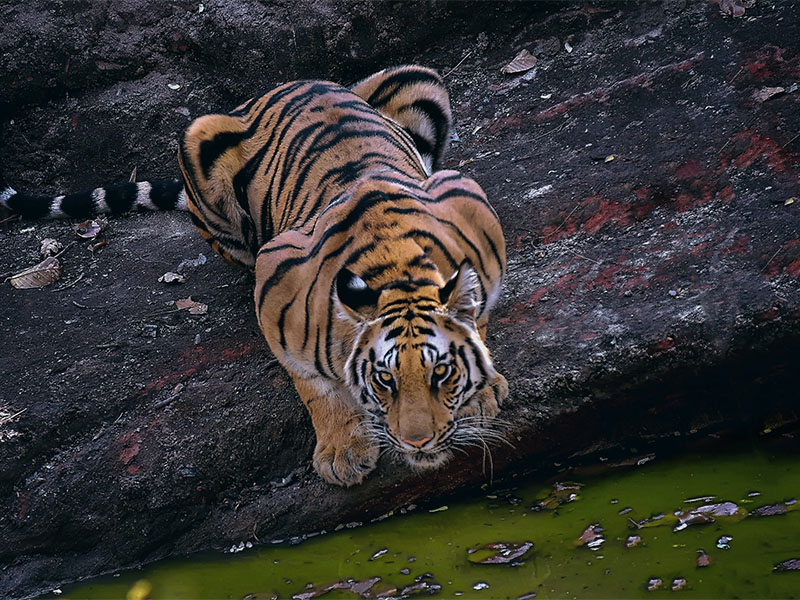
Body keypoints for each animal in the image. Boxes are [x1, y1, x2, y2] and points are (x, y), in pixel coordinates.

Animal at [0, 67, 510, 488]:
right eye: (385, 381)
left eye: (440, 374)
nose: (417, 442)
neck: (397, 268)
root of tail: (281, 86)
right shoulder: (275, 279)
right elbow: (315, 386)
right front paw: (342, 452)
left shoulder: (468, 206)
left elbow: (474, 315)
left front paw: (479, 392)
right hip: (199, 147)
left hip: (418, 78)